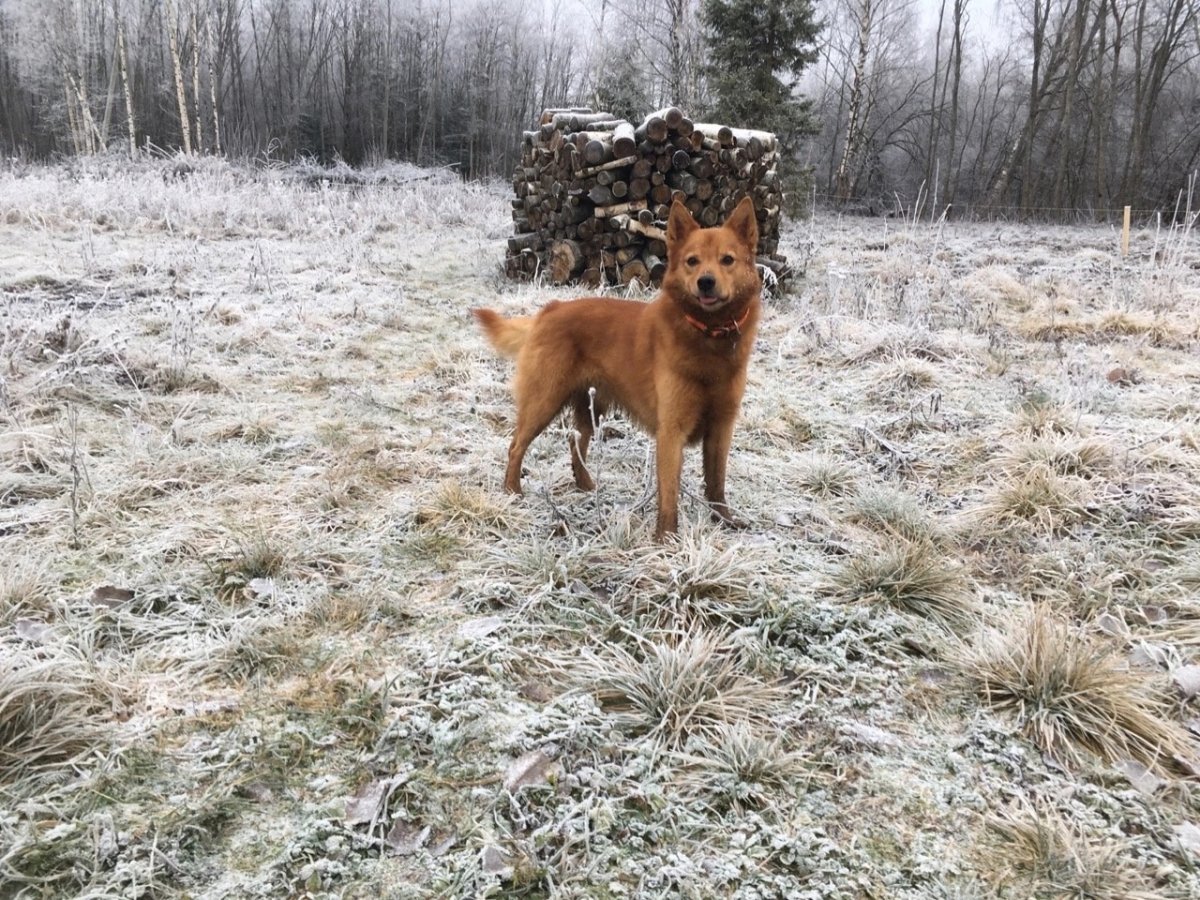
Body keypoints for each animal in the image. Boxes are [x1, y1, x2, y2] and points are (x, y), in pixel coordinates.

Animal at [470, 195, 758, 542]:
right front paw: (666, 539)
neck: (707, 337)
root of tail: (550, 309)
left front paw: (724, 520)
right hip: (544, 401)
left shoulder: (721, 428)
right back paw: (512, 490)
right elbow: (669, 494)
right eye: (692, 261)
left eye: (727, 260)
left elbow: (716, 482)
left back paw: (585, 485)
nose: (706, 282)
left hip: (592, 406)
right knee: (516, 445)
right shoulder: (671, 431)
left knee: (576, 443)